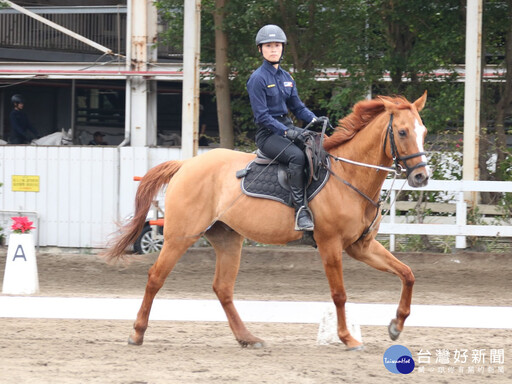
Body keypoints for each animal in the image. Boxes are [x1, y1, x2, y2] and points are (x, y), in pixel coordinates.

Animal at [106, 91, 430, 350]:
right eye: (402, 132)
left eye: (423, 131)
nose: (421, 177)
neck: (349, 175)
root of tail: (186, 164)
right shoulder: (330, 244)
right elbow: (339, 294)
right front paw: (348, 338)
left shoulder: (361, 246)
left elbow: (408, 274)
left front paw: (396, 326)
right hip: (179, 236)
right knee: (155, 278)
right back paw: (137, 334)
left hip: (227, 238)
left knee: (222, 288)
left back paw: (247, 338)